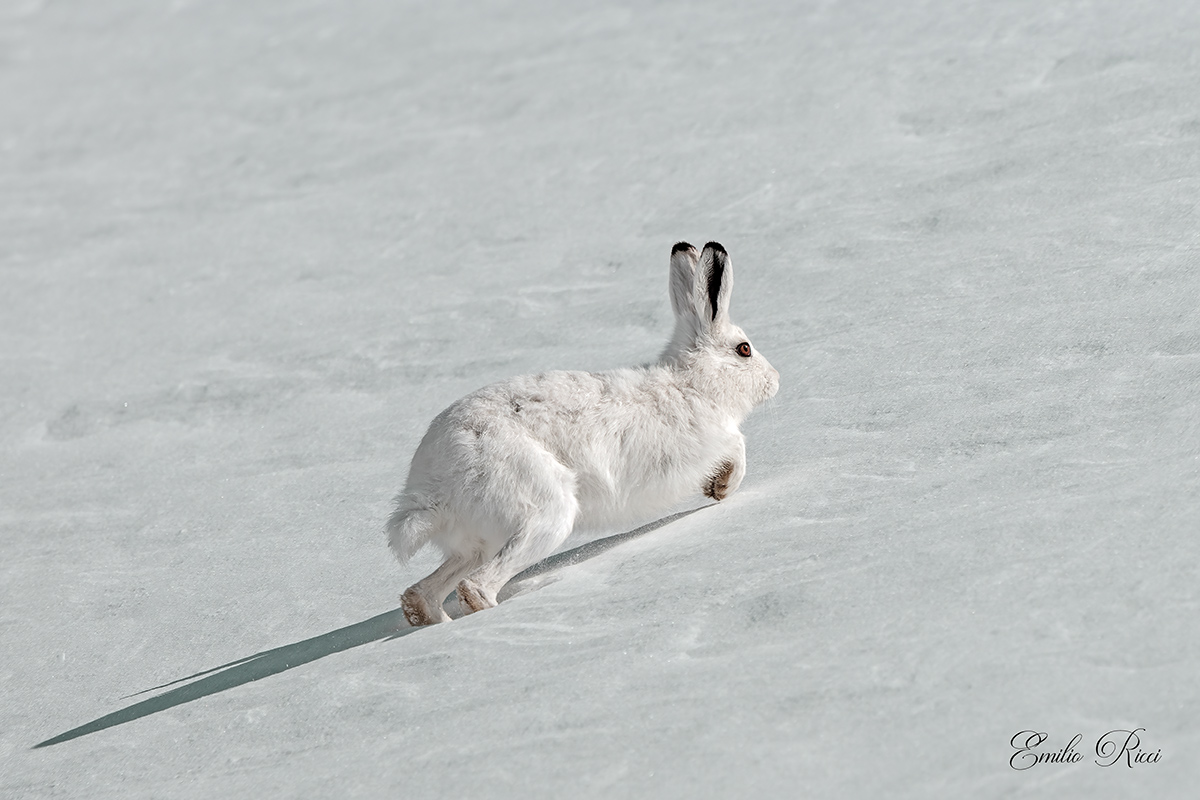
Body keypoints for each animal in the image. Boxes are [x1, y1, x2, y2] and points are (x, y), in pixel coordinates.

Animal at [386, 241, 779, 626]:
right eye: (744, 350)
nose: (775, 381)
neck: (693, 382)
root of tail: (434, 490)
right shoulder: (709, 440)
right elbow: (739, 447)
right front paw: (722, 487)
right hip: (545, 512)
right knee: (476, 585)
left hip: (477, 542)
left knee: (424, 591)